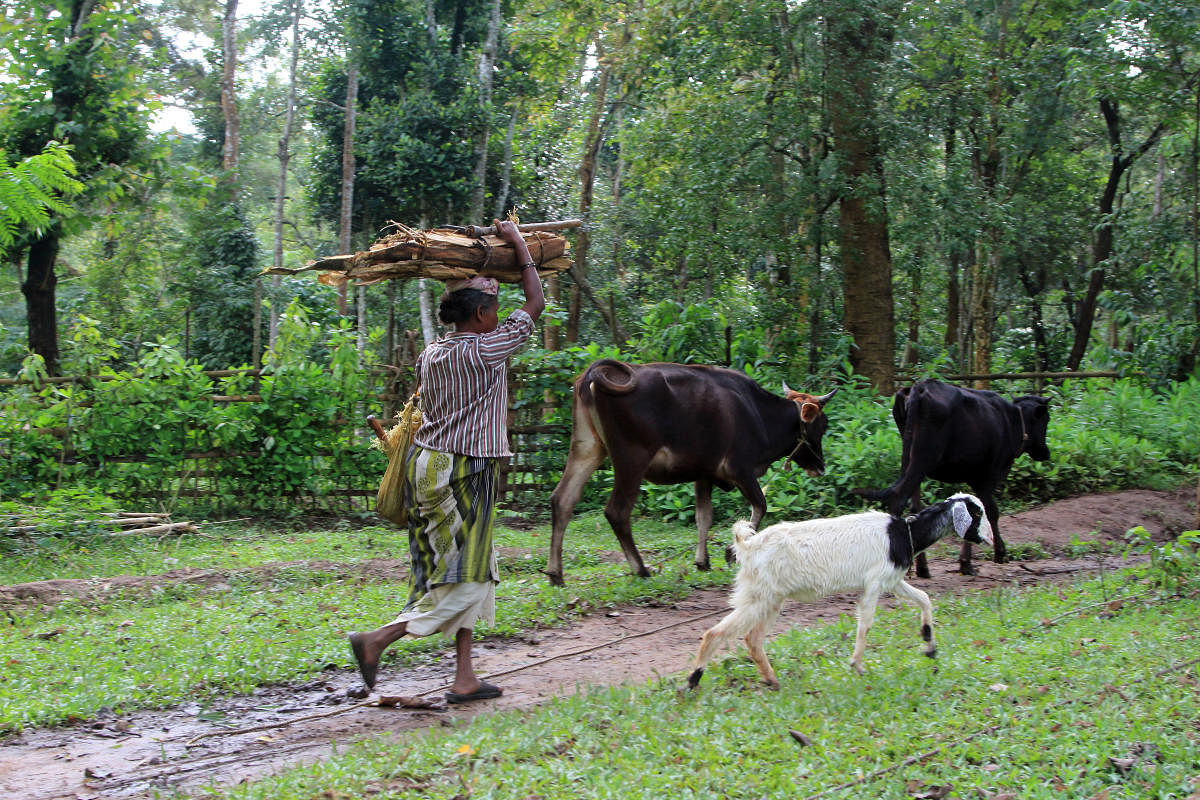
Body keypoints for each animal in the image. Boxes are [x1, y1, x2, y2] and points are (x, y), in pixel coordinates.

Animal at [547, 362, 835, 587]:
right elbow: (760, 507)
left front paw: (702, 561)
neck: (759, 414)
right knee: (617, 511)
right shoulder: (740, 469)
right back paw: (640, 569)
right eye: (822, 425)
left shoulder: (704, 473)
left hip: (587, 448)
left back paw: (555, 574)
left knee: (563, 499)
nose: (821, 467)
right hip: (632, 459)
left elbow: (703, 517)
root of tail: (594, 374)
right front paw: (731, 552)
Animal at [691, 494, 988, 690]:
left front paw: (929, 645)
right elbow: (866, 623)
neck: (905, 533)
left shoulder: (892, 580)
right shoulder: (875, 583)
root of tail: (747, 546)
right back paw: (693, 679)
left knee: (752, 639)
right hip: (759, 595)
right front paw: (857, 665)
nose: (989, 538)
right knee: (716, 632)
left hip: (770, 598)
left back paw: (771, 679)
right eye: (977, 513)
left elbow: (924, 599)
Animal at [859, 381, 1046, 575]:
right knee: (898, 498)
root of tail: (920, 386)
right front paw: (1000, 554)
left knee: (913, 507)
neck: (1014, 420)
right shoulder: (988, 477)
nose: (1045, 453)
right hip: (923, 459)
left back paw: (923, 568)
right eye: (1045, 420)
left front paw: (965, 563)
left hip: (913, 461)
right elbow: (990, 511)